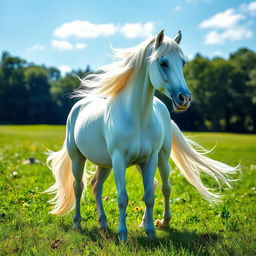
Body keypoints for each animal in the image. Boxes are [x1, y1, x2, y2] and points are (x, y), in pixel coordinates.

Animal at [45, 30, 237, 240]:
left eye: (183, 63)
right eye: (163, 62)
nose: (184, 98)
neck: (137, 116)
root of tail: (78, 107)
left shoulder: (150, 158)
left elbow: (150, 195)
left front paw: (151, 231)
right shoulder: (118, 159)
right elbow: (122, 197)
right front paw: (123, 234)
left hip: (141, 160)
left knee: (133, 186)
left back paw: (113, 223)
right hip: (78, 158)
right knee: (78, 187)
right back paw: (77, 224)